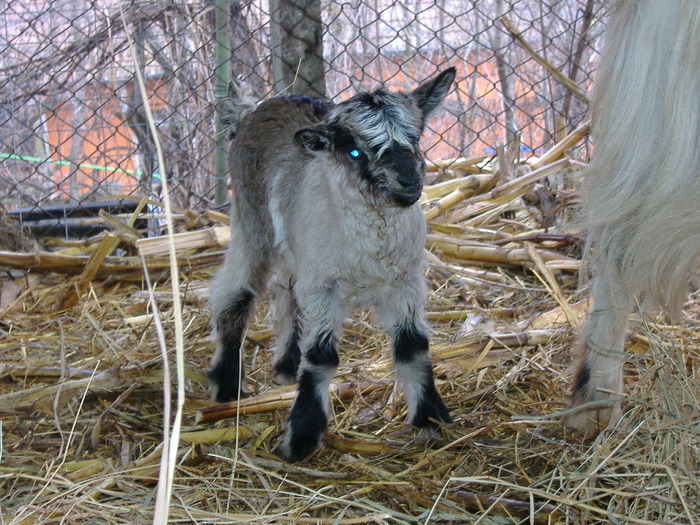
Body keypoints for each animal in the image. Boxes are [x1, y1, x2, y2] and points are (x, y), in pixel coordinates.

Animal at [211, 67, 456, 460]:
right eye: (354, 151)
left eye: (416, 139)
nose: (409, 182)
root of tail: (251, 110)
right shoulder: (324, 288)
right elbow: (322, 358)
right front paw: (302, 436)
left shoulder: (405, 282)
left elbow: (413, 347)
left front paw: (430, 418)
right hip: (250, 223)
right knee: (235, 293)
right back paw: (226, 385)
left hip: (297, 253)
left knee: (284, 290)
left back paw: (286, 364)